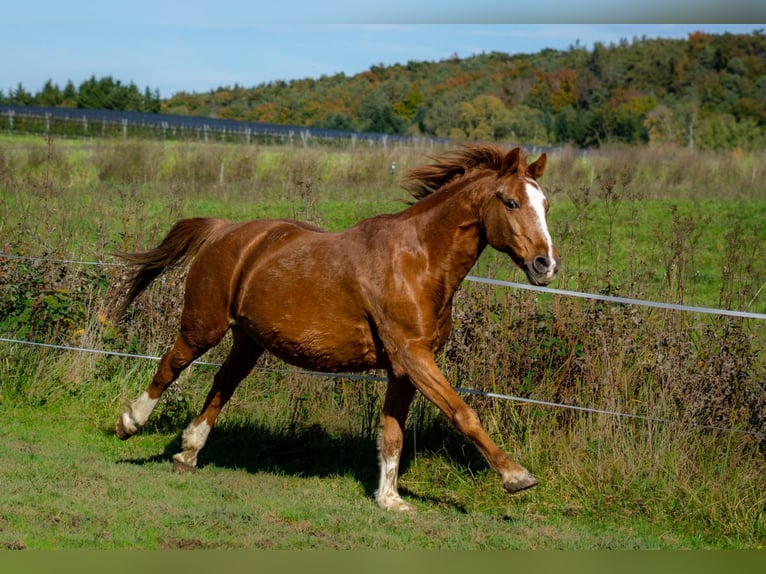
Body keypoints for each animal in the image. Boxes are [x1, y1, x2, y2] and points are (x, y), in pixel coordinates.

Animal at [117, 144, 564, 512]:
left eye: (545, 204)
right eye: (511, 202)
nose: (546, 265)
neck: (418, 262)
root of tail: (223, 230)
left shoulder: (404, 367)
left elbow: (392, 433)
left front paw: (389, 499)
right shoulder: (413, 357)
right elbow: (463, 413)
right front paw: (517, 476)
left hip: (248, 341)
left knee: (222, 384)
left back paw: (188, 454)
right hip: (204, 327)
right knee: (171, 364)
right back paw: (130, 423)